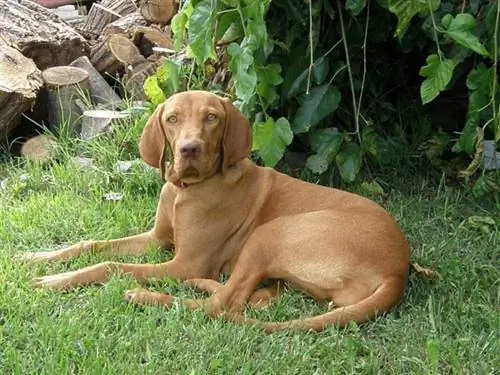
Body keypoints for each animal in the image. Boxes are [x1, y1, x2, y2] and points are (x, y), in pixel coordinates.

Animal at [19, 90, 410, 332]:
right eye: (172, 119)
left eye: (211, 118)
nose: (189, 149)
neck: (186, 190)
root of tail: (398, 270)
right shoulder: (157, 239)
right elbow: (92, 245)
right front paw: (37, 258)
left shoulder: (183, 262)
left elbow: (110, 265)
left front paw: (55, 281)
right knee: (253, 298)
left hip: (271, 233)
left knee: (221, 306)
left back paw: (148, 296)